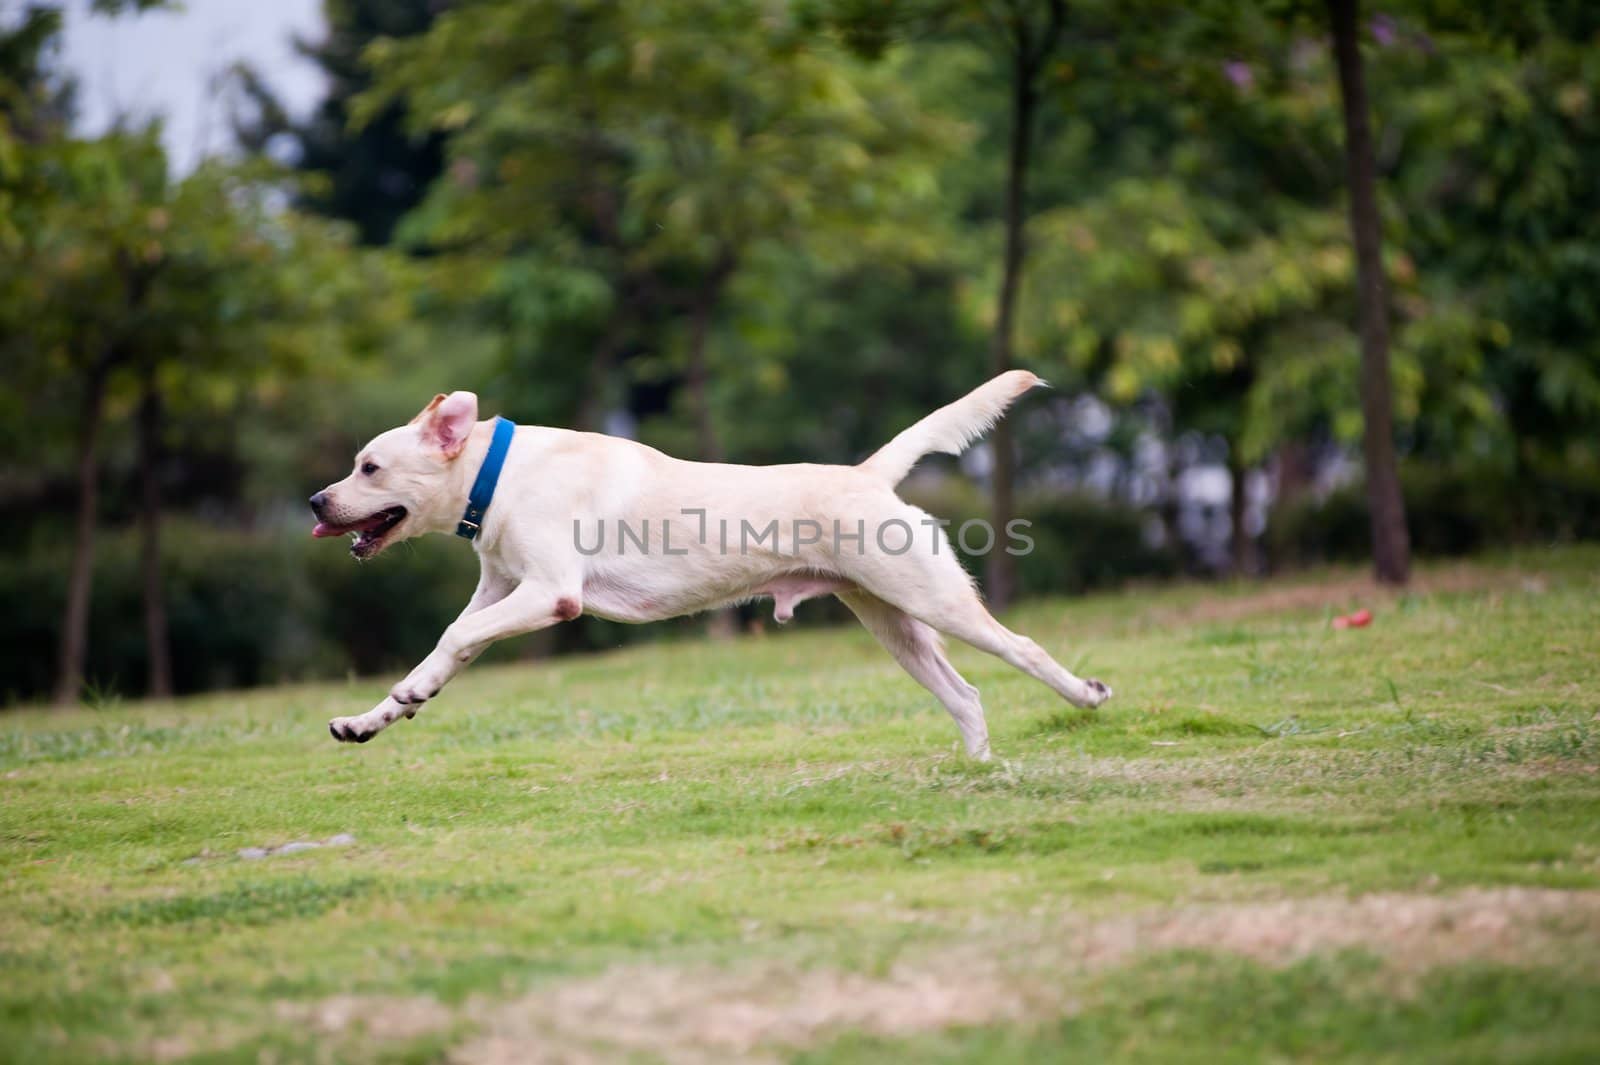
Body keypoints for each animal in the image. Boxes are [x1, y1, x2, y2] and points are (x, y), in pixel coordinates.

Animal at [312, 372, 1113, 754]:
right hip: (895, 627)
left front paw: (410, 693)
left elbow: (451, 638)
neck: (498, 471)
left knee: (1025, 649)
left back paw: (1086, 696)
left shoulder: (551, 595)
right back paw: (978, 769)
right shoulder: (500, 594)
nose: (317, 500)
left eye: (369, 467)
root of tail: (866, 474)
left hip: (934, 602)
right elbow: (447, 646)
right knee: (966, 697)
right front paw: (378, 714)